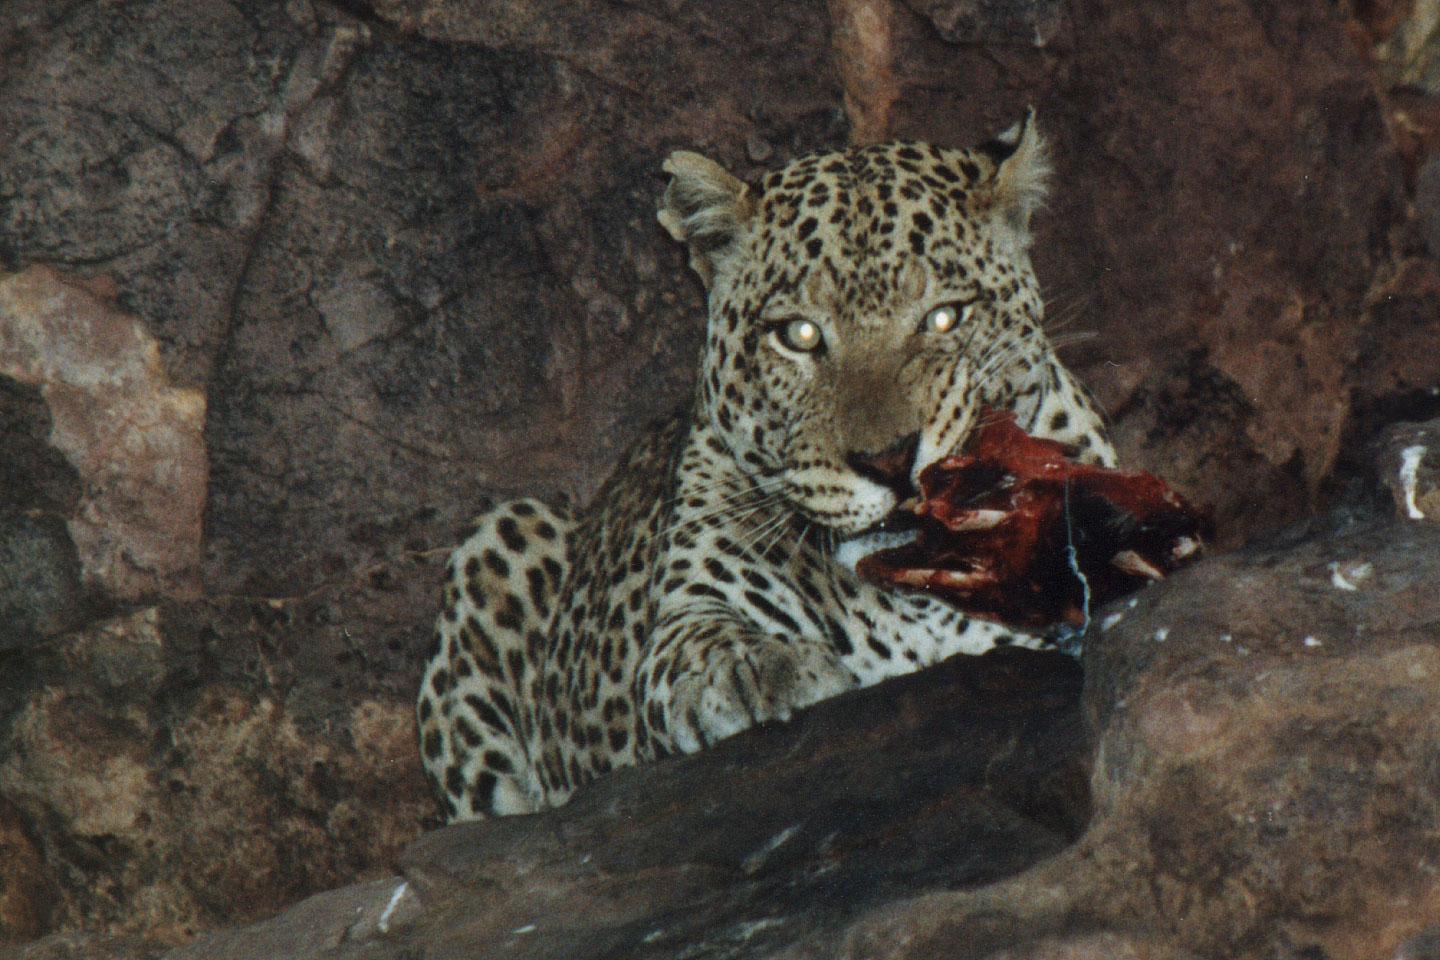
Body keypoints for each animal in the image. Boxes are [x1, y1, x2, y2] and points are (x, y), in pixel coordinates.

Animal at [417, 110, 1111, 817]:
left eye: (945, 318)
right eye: (798, 335)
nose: (889, 461)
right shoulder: (685, 614)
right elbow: (701, 643)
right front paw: (755, 668)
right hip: (498, 536)